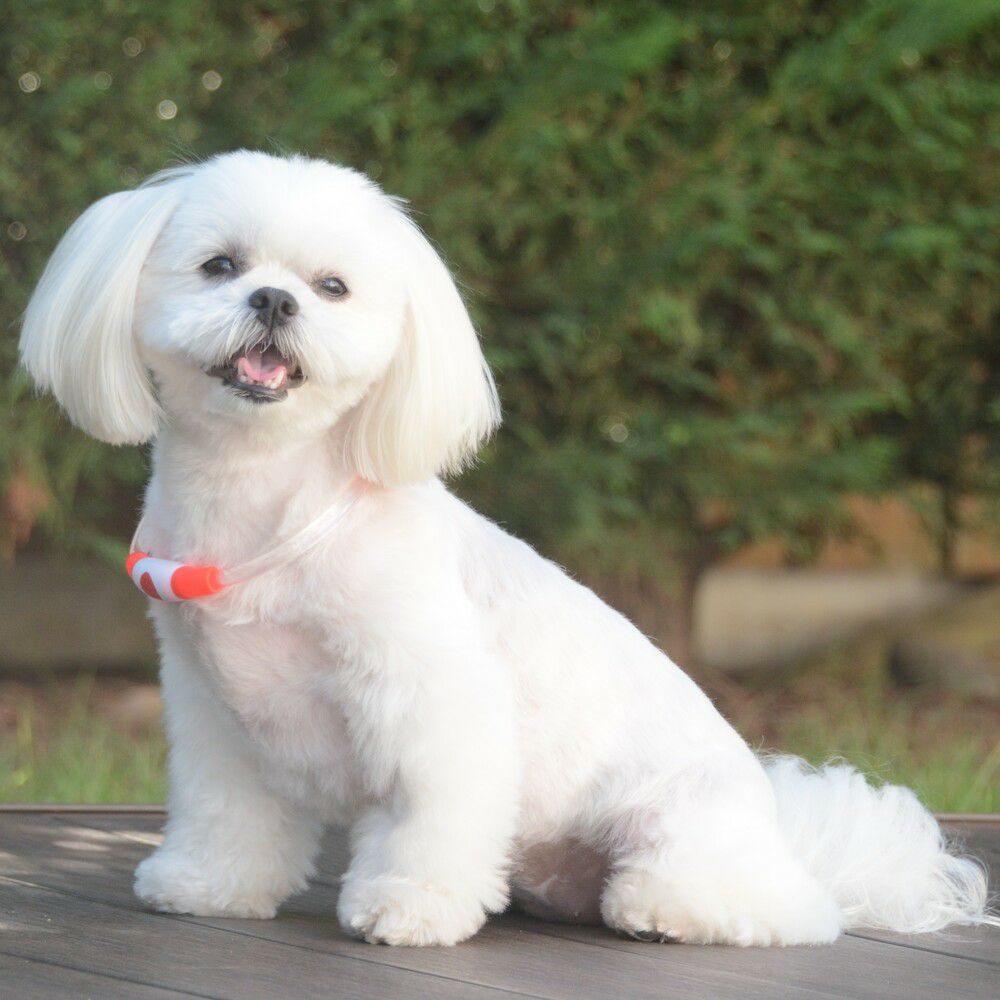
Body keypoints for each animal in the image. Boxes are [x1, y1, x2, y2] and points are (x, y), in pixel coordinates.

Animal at [20, 150, 991, 946]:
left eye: (332, 286)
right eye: (219, 265)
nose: (273, 298)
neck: (262, 493)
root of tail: (791, 840)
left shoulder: (430, 694)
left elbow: (428, 813)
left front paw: (408, 905)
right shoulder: (214, 706)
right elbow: (228, 809)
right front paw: (209, 884)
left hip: (684, 828)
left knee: (776, 909)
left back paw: (667, 909)